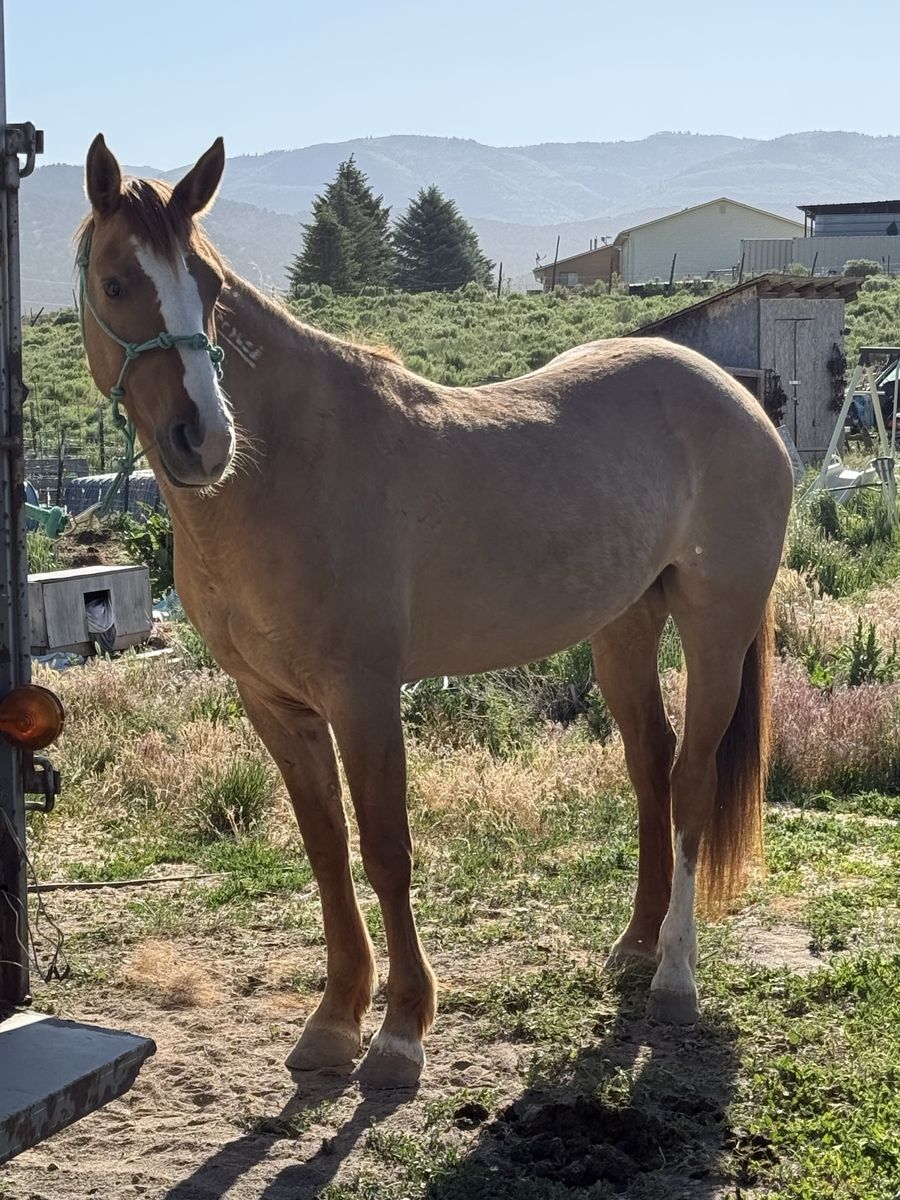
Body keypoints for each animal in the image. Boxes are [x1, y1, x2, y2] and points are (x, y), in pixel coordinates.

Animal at [78, 135, 794, 1087]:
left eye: (213, 287)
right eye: (118, 281)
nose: (207, 440)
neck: (286, 470)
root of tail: (740, 397)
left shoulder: (365, 695)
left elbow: (387, 850)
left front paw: (399, 1032)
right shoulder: (274, 705)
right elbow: (326, 852)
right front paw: (333, 1022)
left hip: (715, 624)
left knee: (690, 784)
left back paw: (675, 976)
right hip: (624, 627)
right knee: (651, 767)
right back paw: (635, 946)